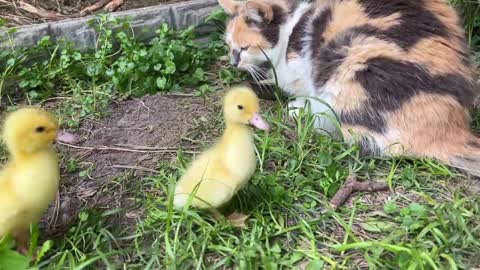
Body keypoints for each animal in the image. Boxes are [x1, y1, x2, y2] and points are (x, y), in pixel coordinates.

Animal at [218, 0, 480, 177]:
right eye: (229, 46)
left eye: (244, 48)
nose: (233, 62)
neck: (292, 25)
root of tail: (451, 129)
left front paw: (296, 104)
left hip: (351, 63)